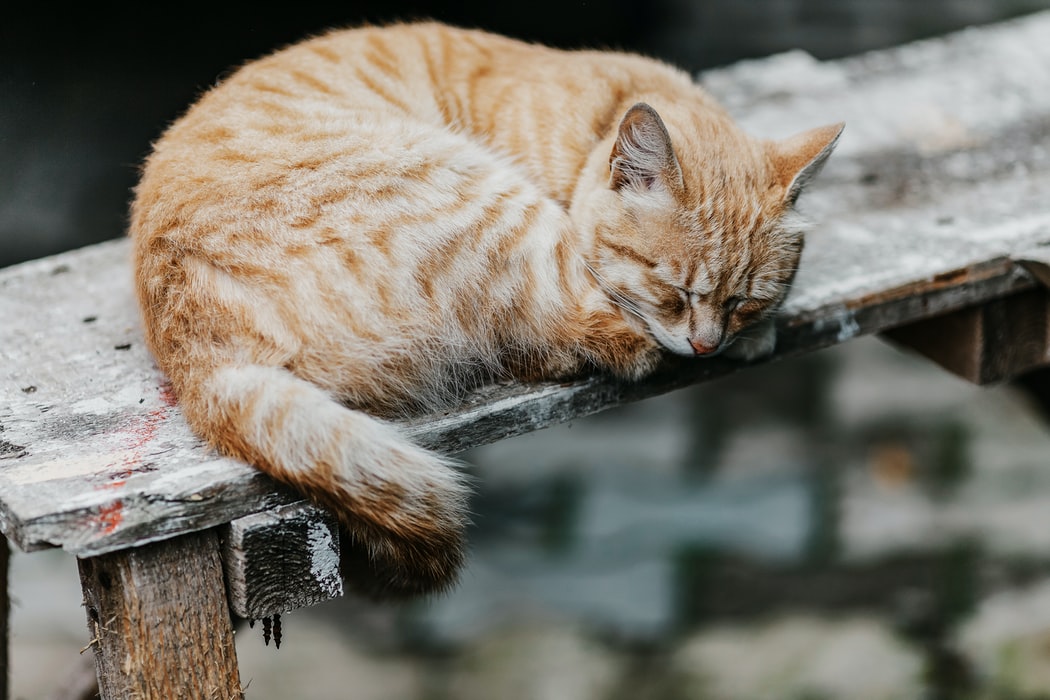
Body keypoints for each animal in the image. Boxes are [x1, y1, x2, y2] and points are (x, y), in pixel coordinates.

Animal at [127, 24, 839, 600]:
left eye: (745, 301)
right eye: (673, 292)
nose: (707, 345)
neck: (599, 117)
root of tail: (200, 353)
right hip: (484, 195)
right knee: (575, 340)